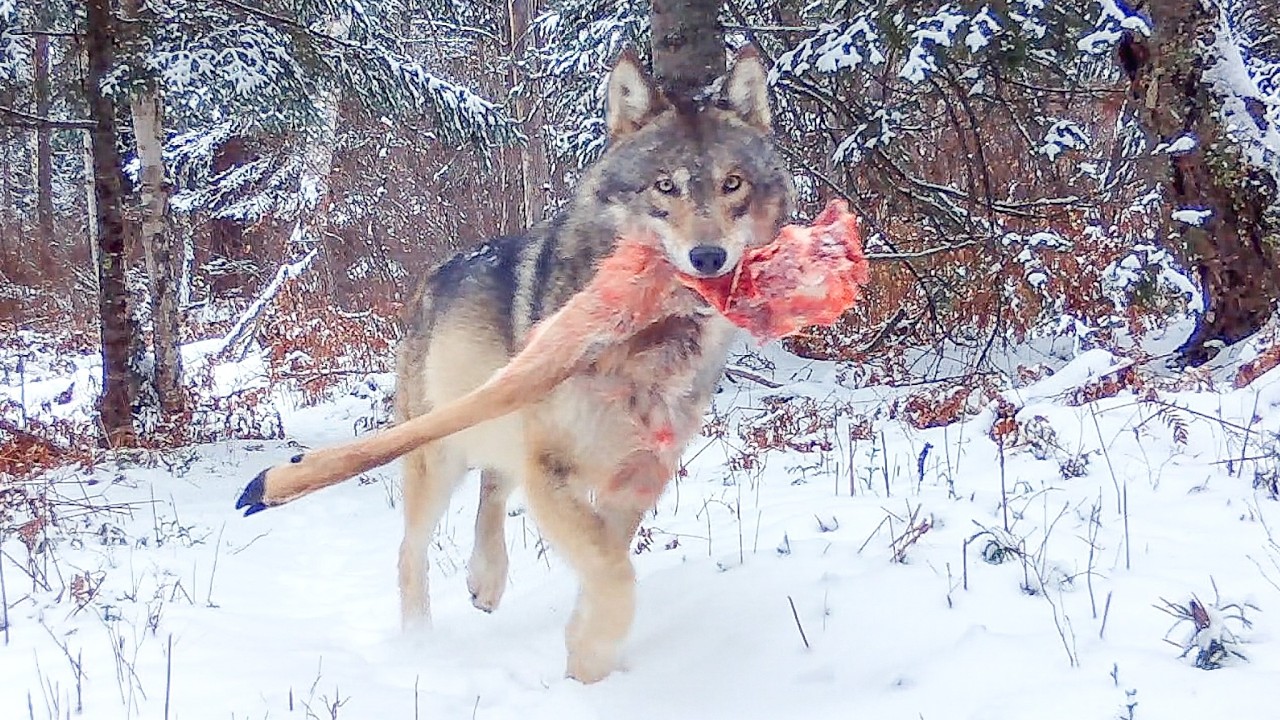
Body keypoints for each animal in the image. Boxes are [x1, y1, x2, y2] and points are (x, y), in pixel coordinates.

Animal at [367, 49, 794, 683]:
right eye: (664, 186)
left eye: (732, 183)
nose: (708, 256)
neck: (649, 343)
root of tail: (432, 276)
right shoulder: (551, 471)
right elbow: (614, 574)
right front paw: (589, 663)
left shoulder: (637, 479)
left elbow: (607, 562)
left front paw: (581, 651)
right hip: (439, 455)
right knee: (410, 548)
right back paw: (419, 639)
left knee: (493, 484)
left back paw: (486, 581)